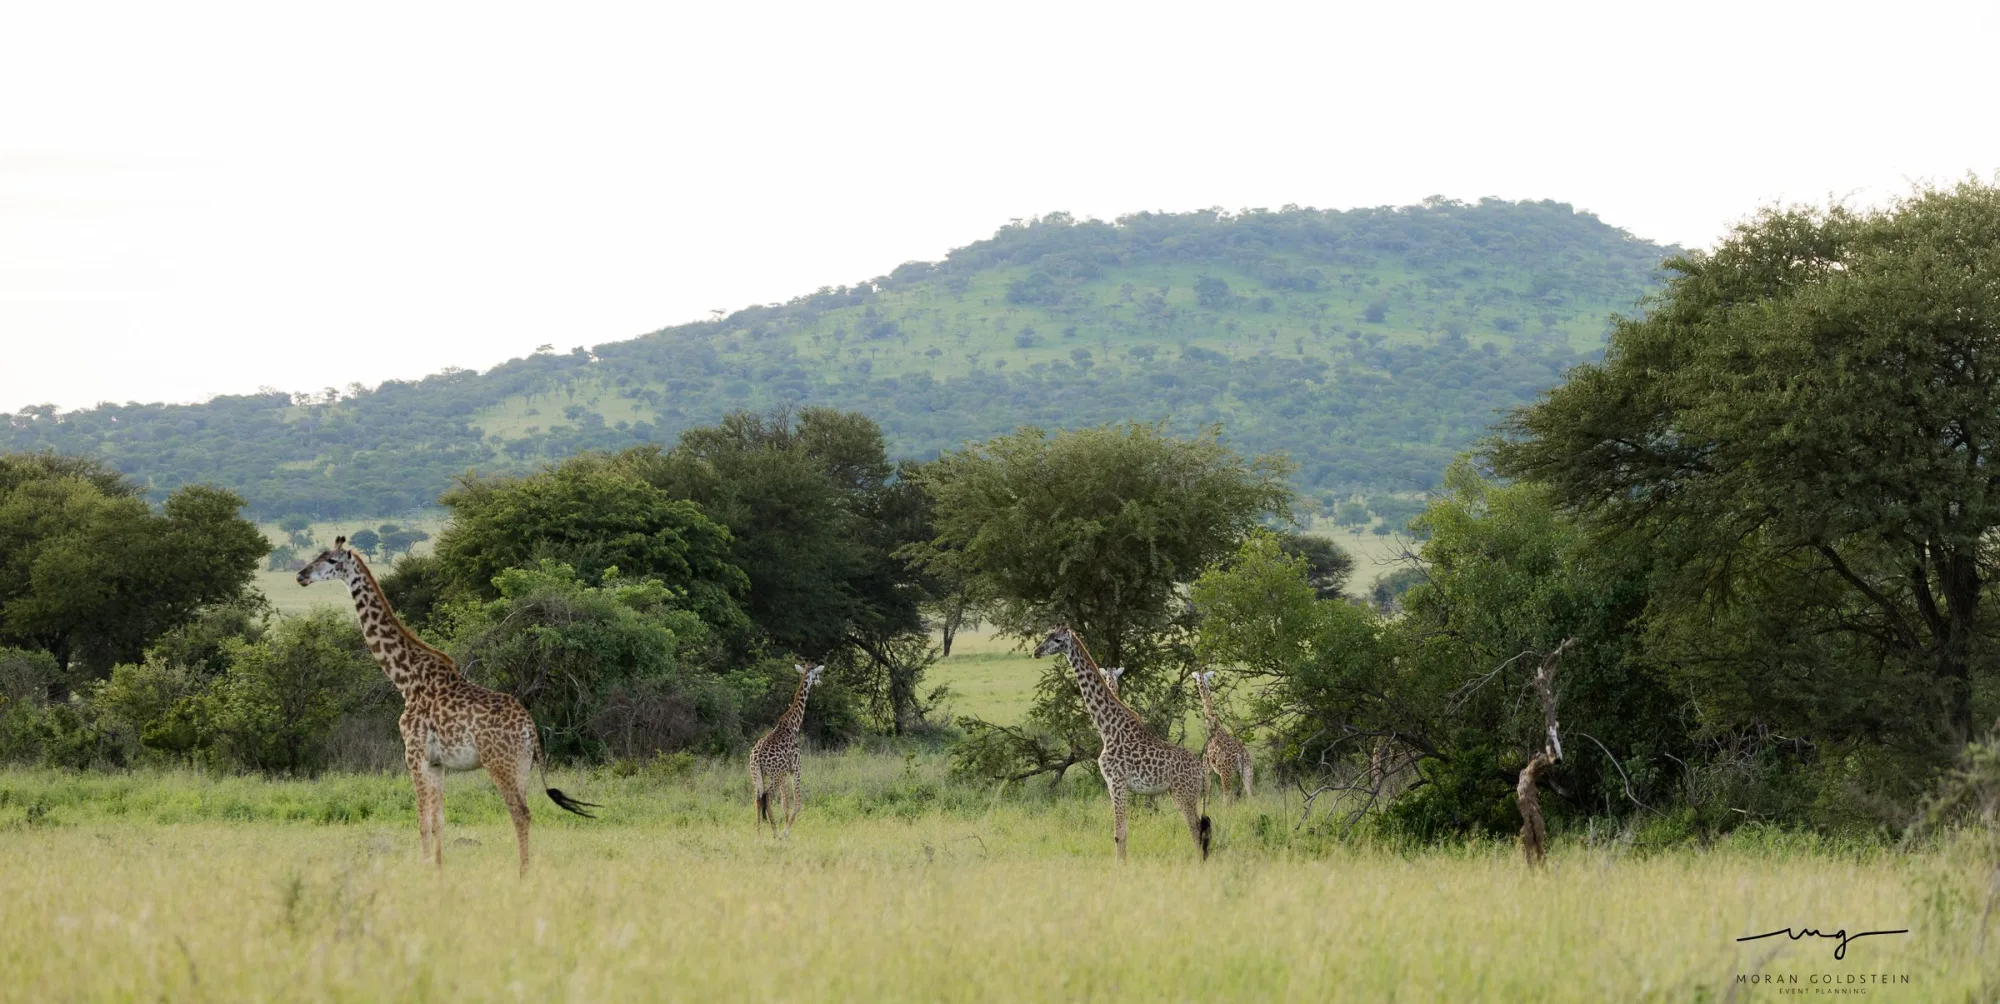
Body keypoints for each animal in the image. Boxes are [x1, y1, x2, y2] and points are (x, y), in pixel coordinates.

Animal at [297, 538, 597, 875]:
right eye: (318, 555)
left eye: (331, 560)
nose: (301, 576)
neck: (405, 679)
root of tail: (529, 726)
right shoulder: (438, 762)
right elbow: (439, 819)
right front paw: (438, 870)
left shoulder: (414, 755)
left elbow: (422, 820)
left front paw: (424, 869)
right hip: (522, 765)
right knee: (526, 811)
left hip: (499, 763)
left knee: (519, 813)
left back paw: (522, 875)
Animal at [749, 662, 824, 838]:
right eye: (817, 674)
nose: (820, 682)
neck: (793, 723)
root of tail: (757, 757)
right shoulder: (795, 767)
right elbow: (797, 802)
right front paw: (786, 832)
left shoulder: (784, 773)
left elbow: (785, 804)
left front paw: (784, 828)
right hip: (774, 775)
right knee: (768, 796)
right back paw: (775, 832)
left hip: (757, 775)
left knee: (758, 799)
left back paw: (758, 834)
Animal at [1033, 627, 1209, 861]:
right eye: (1047, 635)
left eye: (1058, 640)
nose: (1036, 651)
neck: (1107, 729)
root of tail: (1202, 771)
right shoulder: (1114, 784)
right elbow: (1122, 832)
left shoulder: (1116, 781)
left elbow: (1119, 833)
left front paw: (1121, 865)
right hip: (1181, 793)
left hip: (1184, 793)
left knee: (1196, 829)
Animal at [1194, 670, 1254, 801]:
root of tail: (1241, 754)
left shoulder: (1206, 767)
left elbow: (1206, 794)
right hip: (1248, 770)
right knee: (1251, 794)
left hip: (1226, 773)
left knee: (1227, 795)